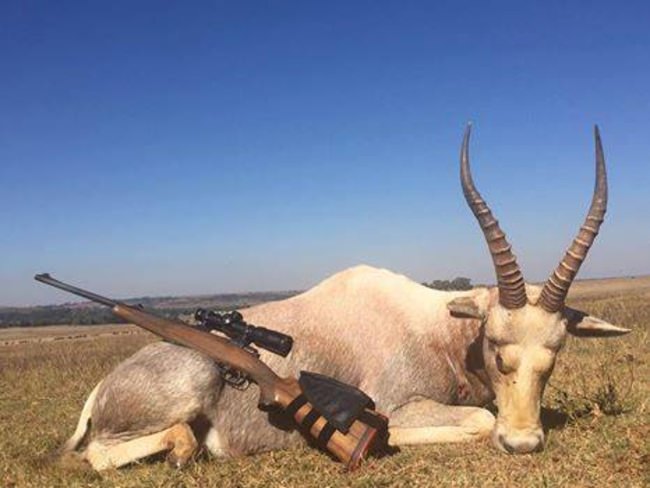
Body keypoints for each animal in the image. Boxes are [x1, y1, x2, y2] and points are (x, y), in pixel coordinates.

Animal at [59, 125, 630, 470]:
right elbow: (478, 418)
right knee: (99, 453)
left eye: (554, 354)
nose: (523, 443)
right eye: (495, 345)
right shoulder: (397, 405)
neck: (436, 326)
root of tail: (104, 386)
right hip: (191, 379)